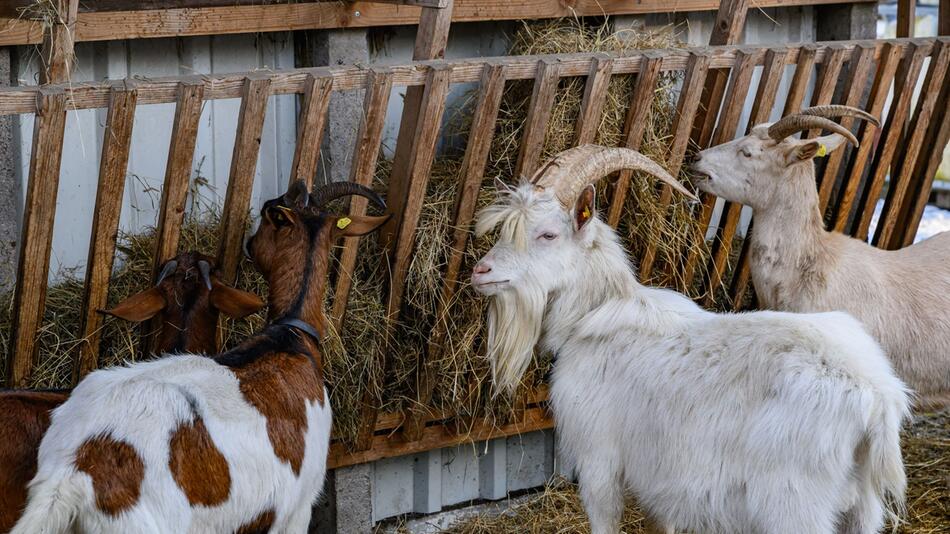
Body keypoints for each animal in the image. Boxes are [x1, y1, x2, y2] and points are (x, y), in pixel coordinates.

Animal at [472, 144, 912, 534]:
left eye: (547, 235)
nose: (481, 271)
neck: (593, 316)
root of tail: (876, 397)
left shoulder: (599, 460)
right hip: (862, 509)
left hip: (794, 507)